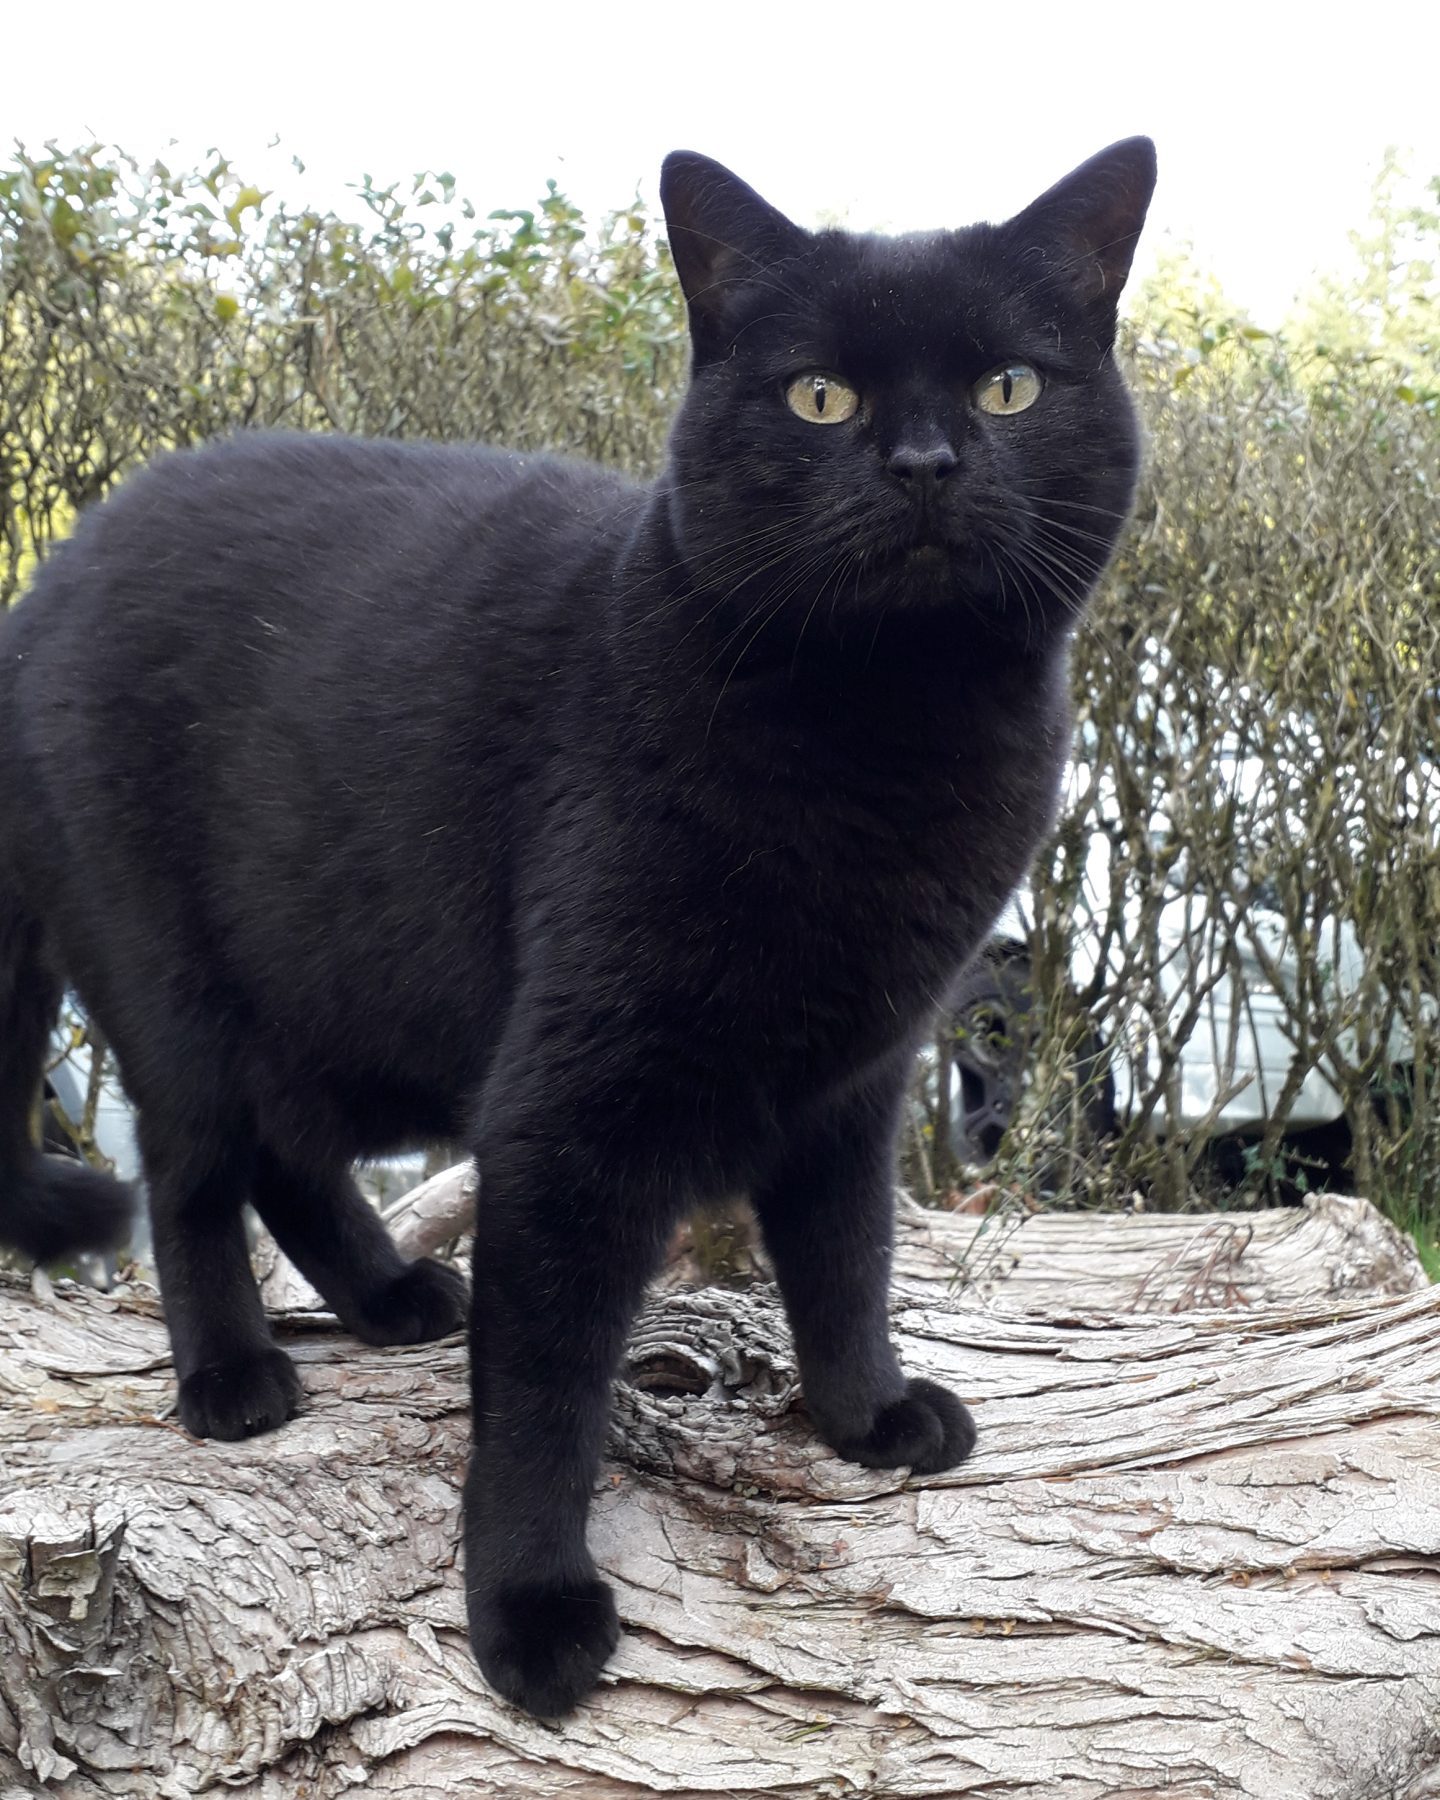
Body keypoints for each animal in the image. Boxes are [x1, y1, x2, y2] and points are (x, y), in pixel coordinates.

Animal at [0, 138, 1155, 1716]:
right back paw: (232, 1377)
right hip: (172, 973)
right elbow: (546, 1387)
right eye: (820, 397)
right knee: (190, 1172)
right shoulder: (571, 1108)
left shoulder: (857, 1075)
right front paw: (530, 1608)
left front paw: (864, 1414)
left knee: (285, 1154)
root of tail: (50, 571)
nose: (925, 464)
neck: (883, 739)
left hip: (324, 993)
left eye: (1009, 388)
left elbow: (847, 1254)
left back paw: (390, 1296)